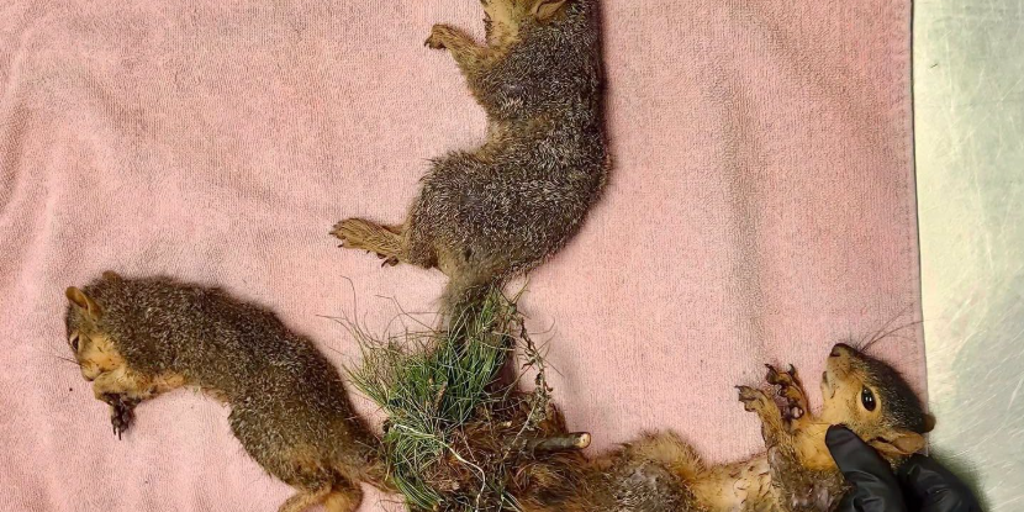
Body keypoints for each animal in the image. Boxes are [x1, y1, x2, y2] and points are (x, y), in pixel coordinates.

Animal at [63, 272, 391, 512]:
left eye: (75, 342)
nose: (83, 375)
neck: (125, 304)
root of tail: (335, 424)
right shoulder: (170, 373)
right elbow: (148, 386)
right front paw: (120, 405)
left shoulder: (142, 345)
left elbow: (118, 381)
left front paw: (102, 390)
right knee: (347, 494)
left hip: (263, 429)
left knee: (322, 484)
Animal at [331, 0, 609, 313]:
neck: (562, 30)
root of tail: (488, 268)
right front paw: (486, 25)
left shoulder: (523, 71)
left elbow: (482, 75)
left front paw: (448, 36)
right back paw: (394, 230)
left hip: (452, 188)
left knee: (418, 257)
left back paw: (372, 236)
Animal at [493, 343, 934, 512]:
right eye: (883, 364)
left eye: (869, 400)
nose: (838, 348)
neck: (821, 437)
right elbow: (798, 420)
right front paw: (792, 396)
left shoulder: (824, 493)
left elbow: (792, 485)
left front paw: (769, 411)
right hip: (662, 450)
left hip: (658, 488)